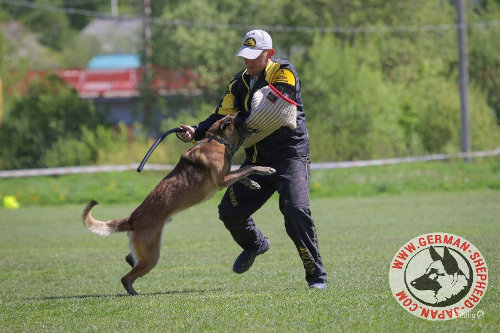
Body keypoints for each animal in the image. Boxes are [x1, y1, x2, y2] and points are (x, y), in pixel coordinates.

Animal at [81, 113, 274, 294]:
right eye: (239, 115)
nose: (246, 110)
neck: (217, 140)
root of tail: (131, 218)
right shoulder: (222, 180)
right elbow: (246, 168)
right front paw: (265, 169)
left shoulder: (226, 176)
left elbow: (242, 174)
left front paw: (253, 183)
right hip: (151, 255)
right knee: (126, 277)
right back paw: (133, 292)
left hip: (147, 250)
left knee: (130, 260)